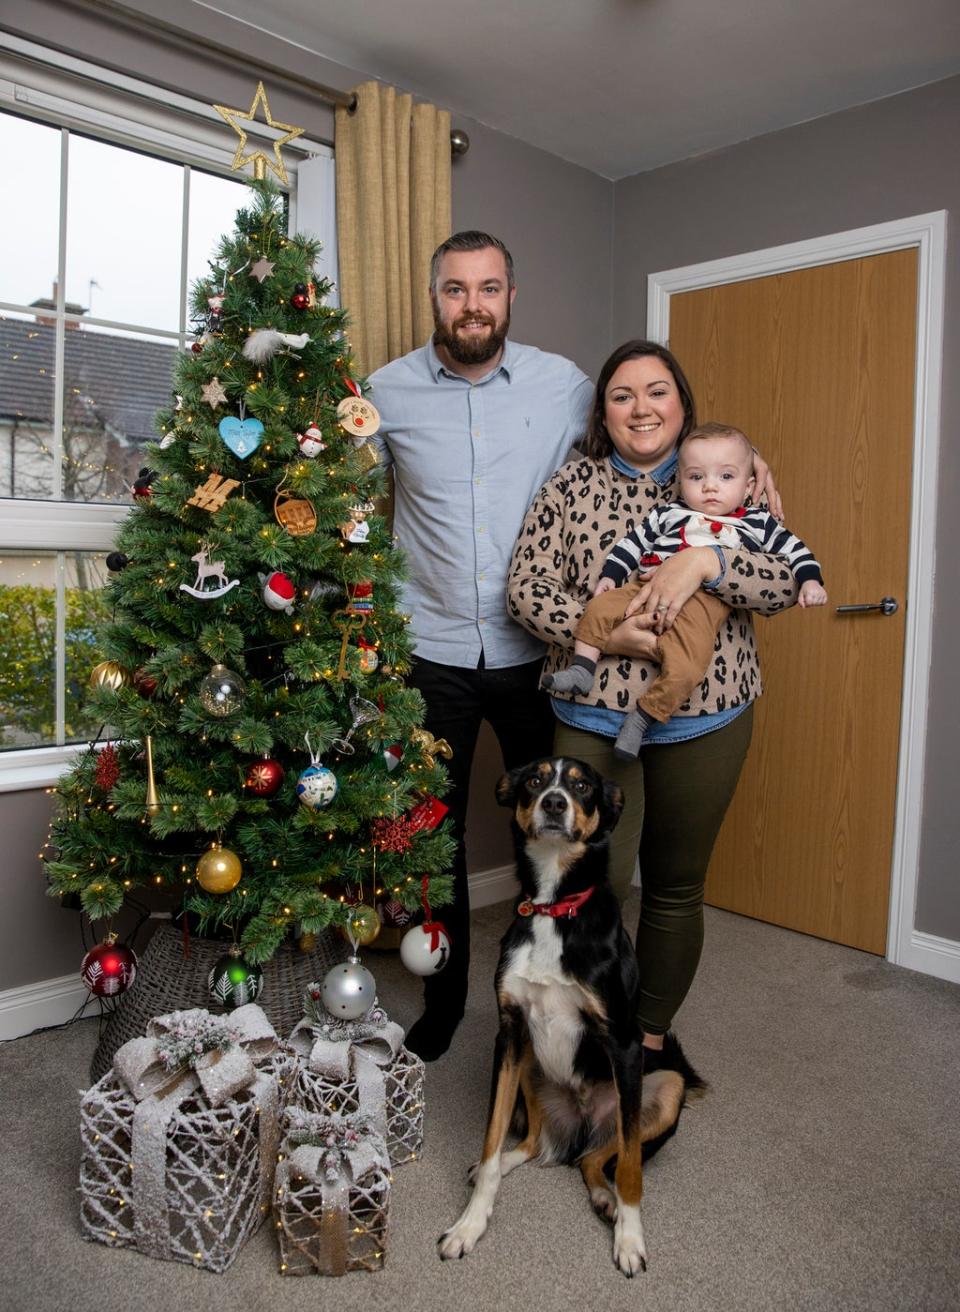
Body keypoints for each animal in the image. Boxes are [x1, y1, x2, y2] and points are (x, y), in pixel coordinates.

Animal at [438, 755, 702, 1275]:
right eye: (535, 781)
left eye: (581, 787)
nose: (554, 803)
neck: (553, 908)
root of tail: (579, 1124)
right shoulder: (510, 1033)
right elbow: (491, 1140)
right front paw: (469, 1225)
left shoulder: (624, 1045)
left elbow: (632, 1169)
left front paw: (630, 1239)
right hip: (528, 1065)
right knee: (536, 1144)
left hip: (662, 1088)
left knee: (602, 1157)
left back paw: (606, 1199)